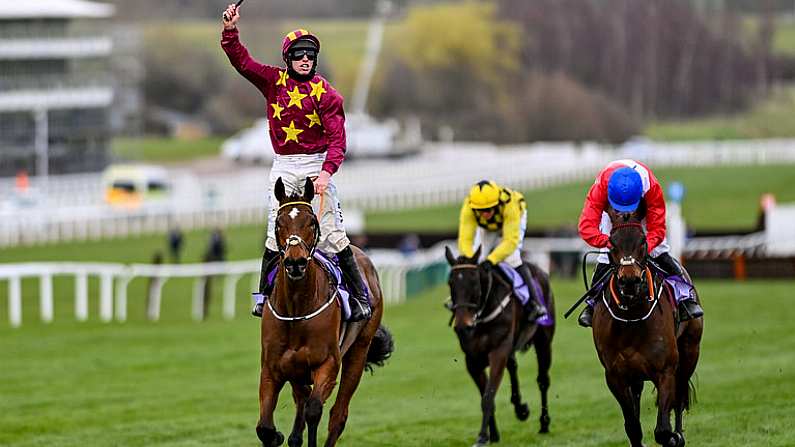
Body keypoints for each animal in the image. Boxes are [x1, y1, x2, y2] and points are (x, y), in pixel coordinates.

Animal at [256, 178, 394, 447]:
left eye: (311, 222)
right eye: (279, 223)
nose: (295, 262)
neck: (296, 309)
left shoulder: (327, 364)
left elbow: (314, 410)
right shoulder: (272, 368)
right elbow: (265, 428)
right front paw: (278, 435)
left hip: (358, 351)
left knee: (337, 415)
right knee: (302, 400)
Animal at [444, 247, 556, 446]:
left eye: (475, 282)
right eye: (451, 282)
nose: (462, 326)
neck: (482, 316)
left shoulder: (498, 352)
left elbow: (488, 397)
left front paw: (482, 436)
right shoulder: (472, 360)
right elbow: (485, 395)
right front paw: (493, 434)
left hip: (544, 341)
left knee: (543, 380)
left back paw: (544, 423)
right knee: (513, 366)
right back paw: (521, 409)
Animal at [592, 210, 704, 447]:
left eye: (643, 242)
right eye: (611, 244)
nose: (630, 281)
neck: (631, 319)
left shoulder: (666, 370)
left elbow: (663, 428)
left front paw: (673, 437)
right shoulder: (615, 376)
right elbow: (633, 426)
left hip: (690, 351)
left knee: (680, 393)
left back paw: (679, 434)